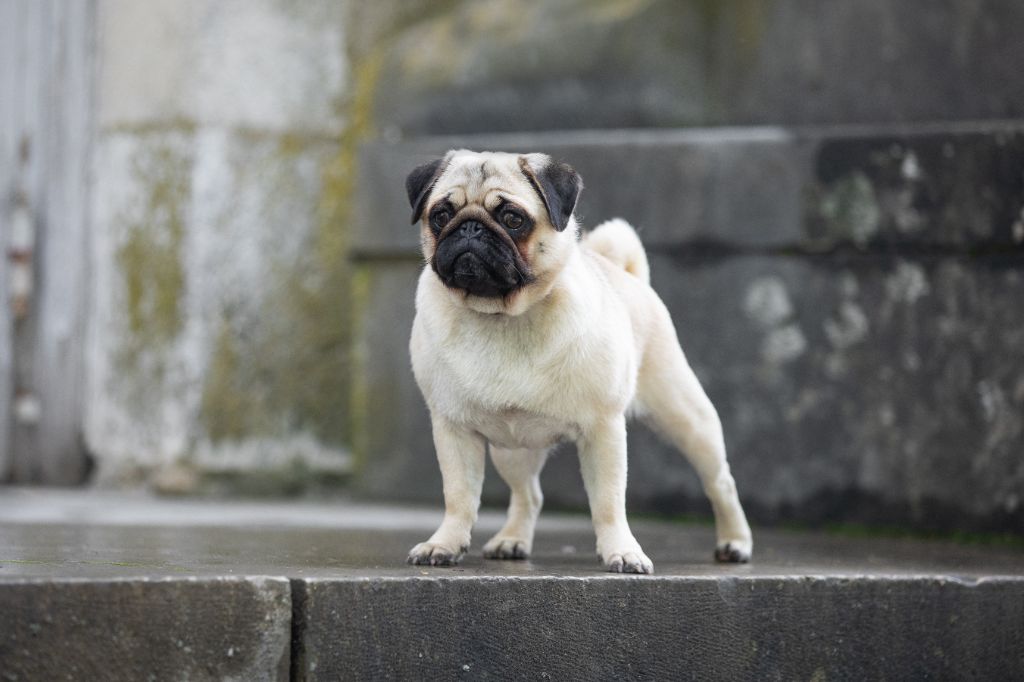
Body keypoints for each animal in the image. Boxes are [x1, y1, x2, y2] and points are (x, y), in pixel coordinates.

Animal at [404, 150, 752, 573]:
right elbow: (458, 497)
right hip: (511, 448)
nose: (469, 228)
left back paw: (735, 543)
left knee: (720, 482)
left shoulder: (603, 430)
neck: (501, 316)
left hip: (687, 418)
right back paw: (512, 539)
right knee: (529, 495)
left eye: (512, 218)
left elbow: (608, 502)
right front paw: (445, 544)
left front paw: (622, 551)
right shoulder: (453, 428)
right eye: (440, 215)